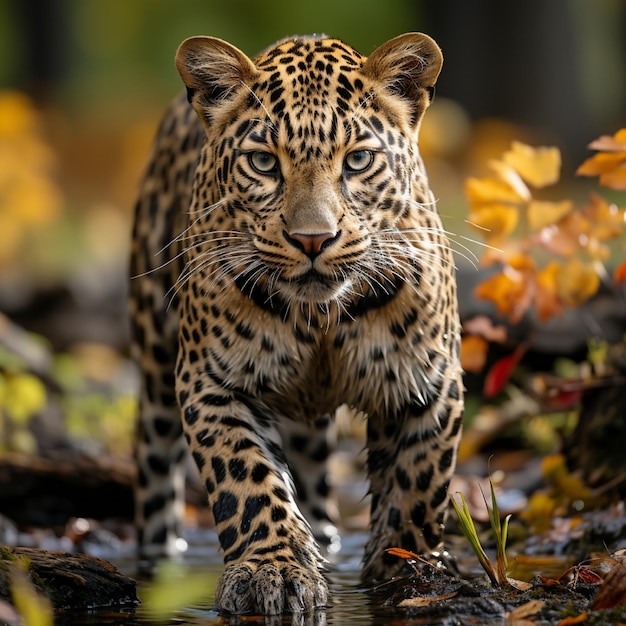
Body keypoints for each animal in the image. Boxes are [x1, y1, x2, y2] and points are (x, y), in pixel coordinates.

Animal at [129, 33, 460, 616]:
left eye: (358, 160)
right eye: (264, 162)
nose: (313, 239)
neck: (321, 319)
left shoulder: (428, 382)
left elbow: (419, 485)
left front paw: (405, 569)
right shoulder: (212, 382)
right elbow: (247, 480)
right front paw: (275, 572)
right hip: (154, 369)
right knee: (154, 479)